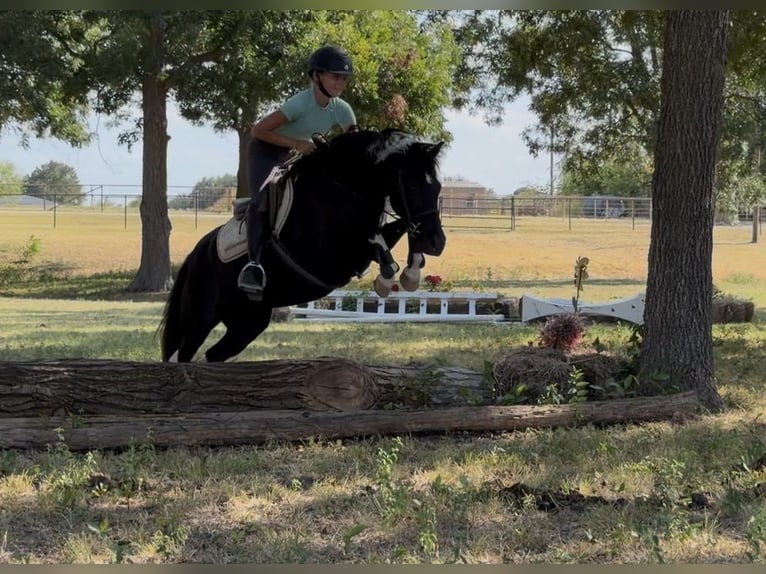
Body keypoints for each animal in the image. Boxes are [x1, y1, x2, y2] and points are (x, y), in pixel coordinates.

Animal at [158, 128, 447, 363]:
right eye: (411, 187)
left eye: (438, 187)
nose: (437, 243)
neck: (345, 187)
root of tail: (197, 253)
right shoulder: (331, 256)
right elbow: (376, 241)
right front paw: (388, 280)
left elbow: (396, 232)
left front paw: (411, 272)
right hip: (200, 316)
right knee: (184, 353)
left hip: (249, 321)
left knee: (214, 354)